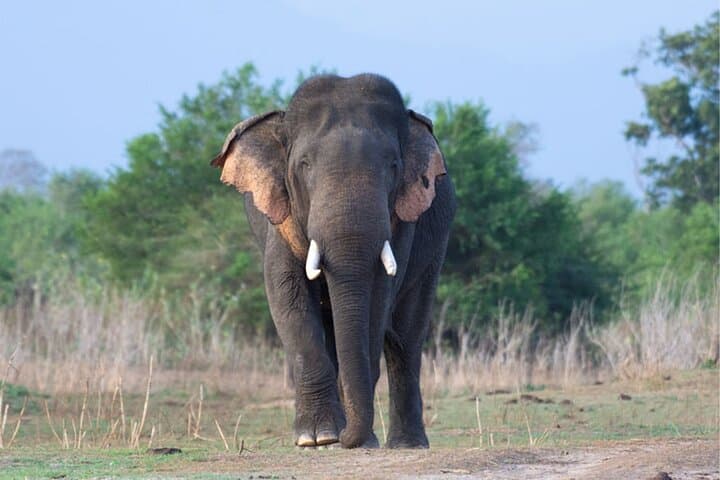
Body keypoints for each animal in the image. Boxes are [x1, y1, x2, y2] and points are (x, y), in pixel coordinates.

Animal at [211, 74, 456, 449]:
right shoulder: (279, 217)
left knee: (406, 338)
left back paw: (407, 444)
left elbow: (378, 298)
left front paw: (354, 439)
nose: (345, 438)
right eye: (304, 165)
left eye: (393, 166)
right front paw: (317, 438)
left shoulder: (402, 221)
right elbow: (287, 293)